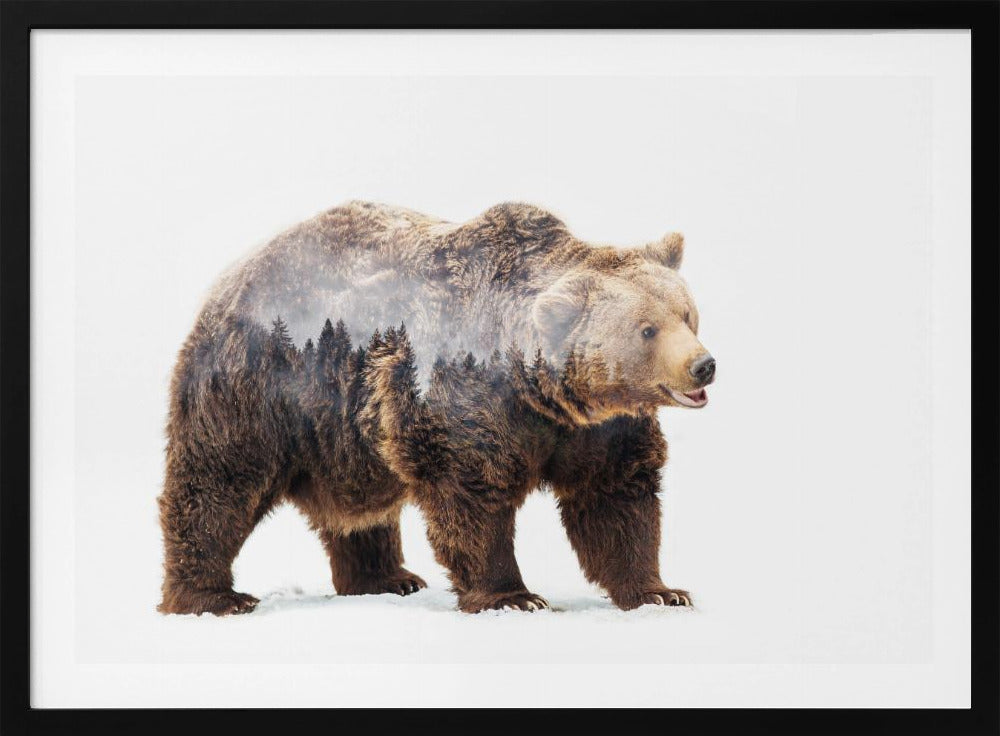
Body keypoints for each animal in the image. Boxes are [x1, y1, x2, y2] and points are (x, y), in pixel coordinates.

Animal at [157, 201, 715, 615]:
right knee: (220, 482)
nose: (703, 366)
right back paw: (212, 596)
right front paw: (513, 596)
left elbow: (616, 498)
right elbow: (471, 494)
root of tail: (231, 275)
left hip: (344, 432)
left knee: (359, 510)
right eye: (647, 329)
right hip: (260, 385)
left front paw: (661, 591)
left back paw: (387, 577)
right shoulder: (464, 396)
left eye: (687, 314)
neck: (542, 391)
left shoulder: (598, 429)